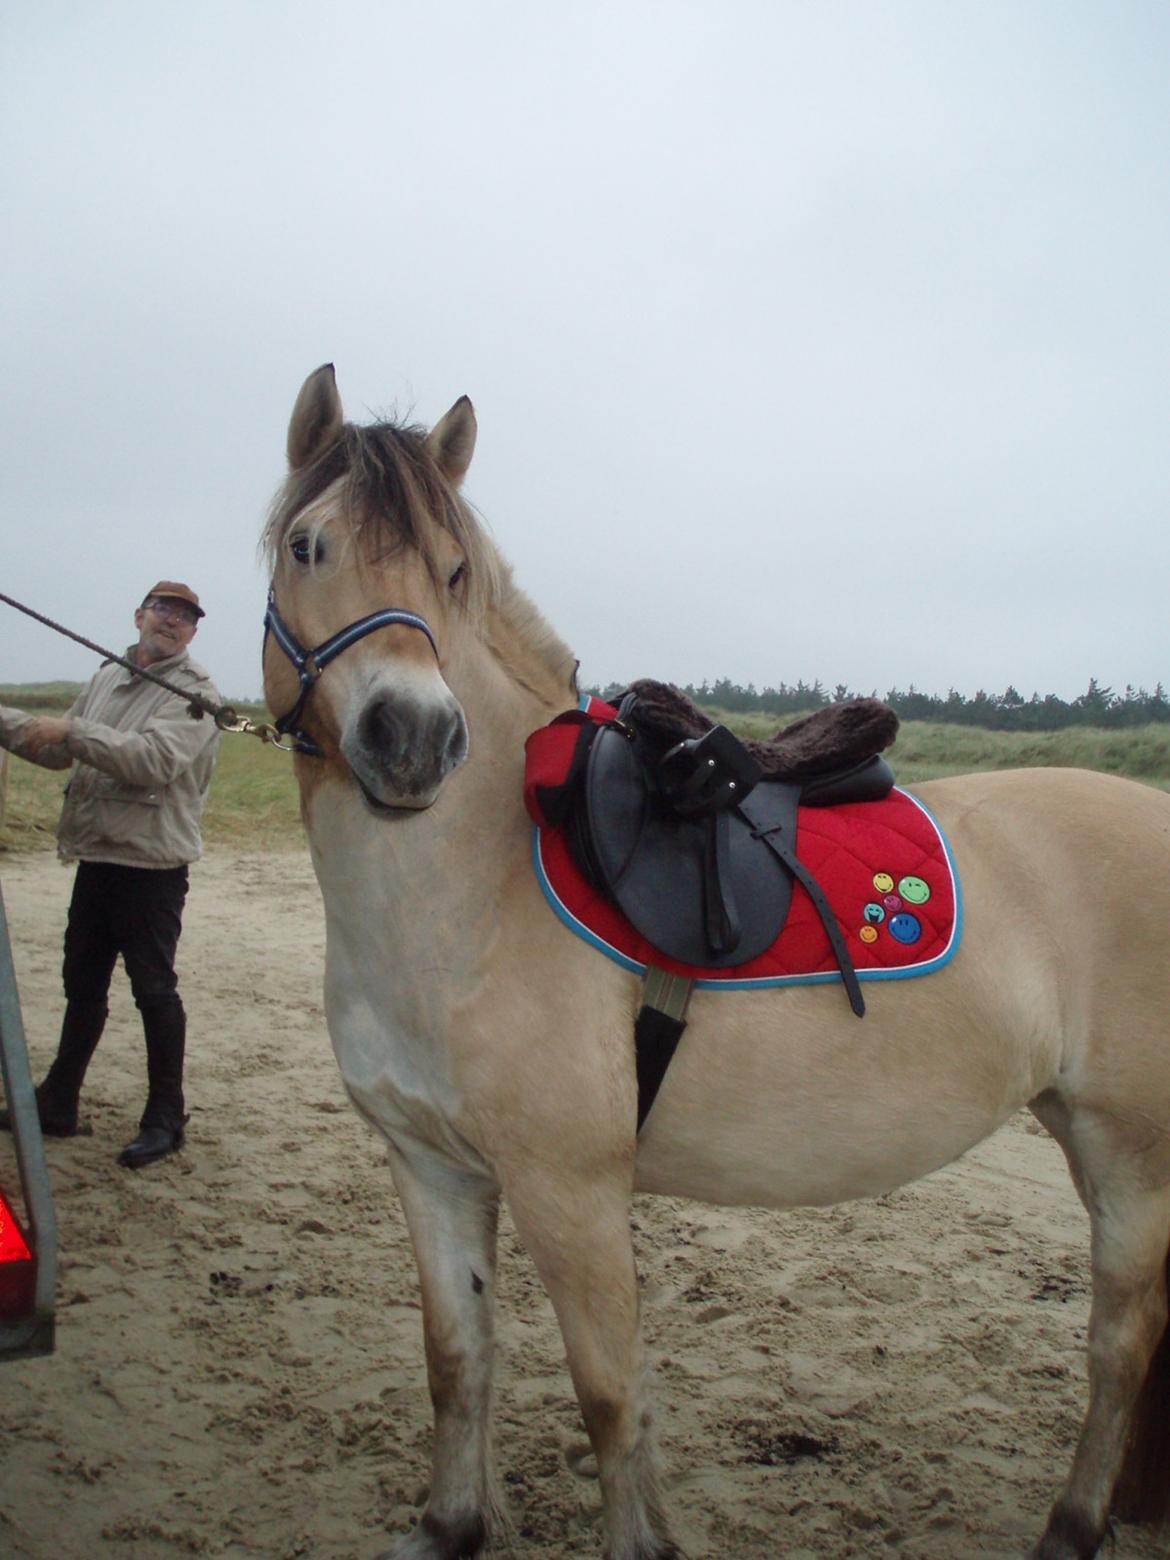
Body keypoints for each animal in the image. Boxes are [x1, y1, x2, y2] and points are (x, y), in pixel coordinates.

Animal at [263, 358, 1170, 1553]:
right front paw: (454, 1524)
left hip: (1132, 1153)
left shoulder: (571, 1190)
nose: (412, 740)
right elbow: (458, 1359)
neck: (470, 896)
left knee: (1120, 1341)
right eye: (306, 546)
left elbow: (609, 1396)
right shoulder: (429, 1167)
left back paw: (1072, 1525)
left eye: (453, 570)